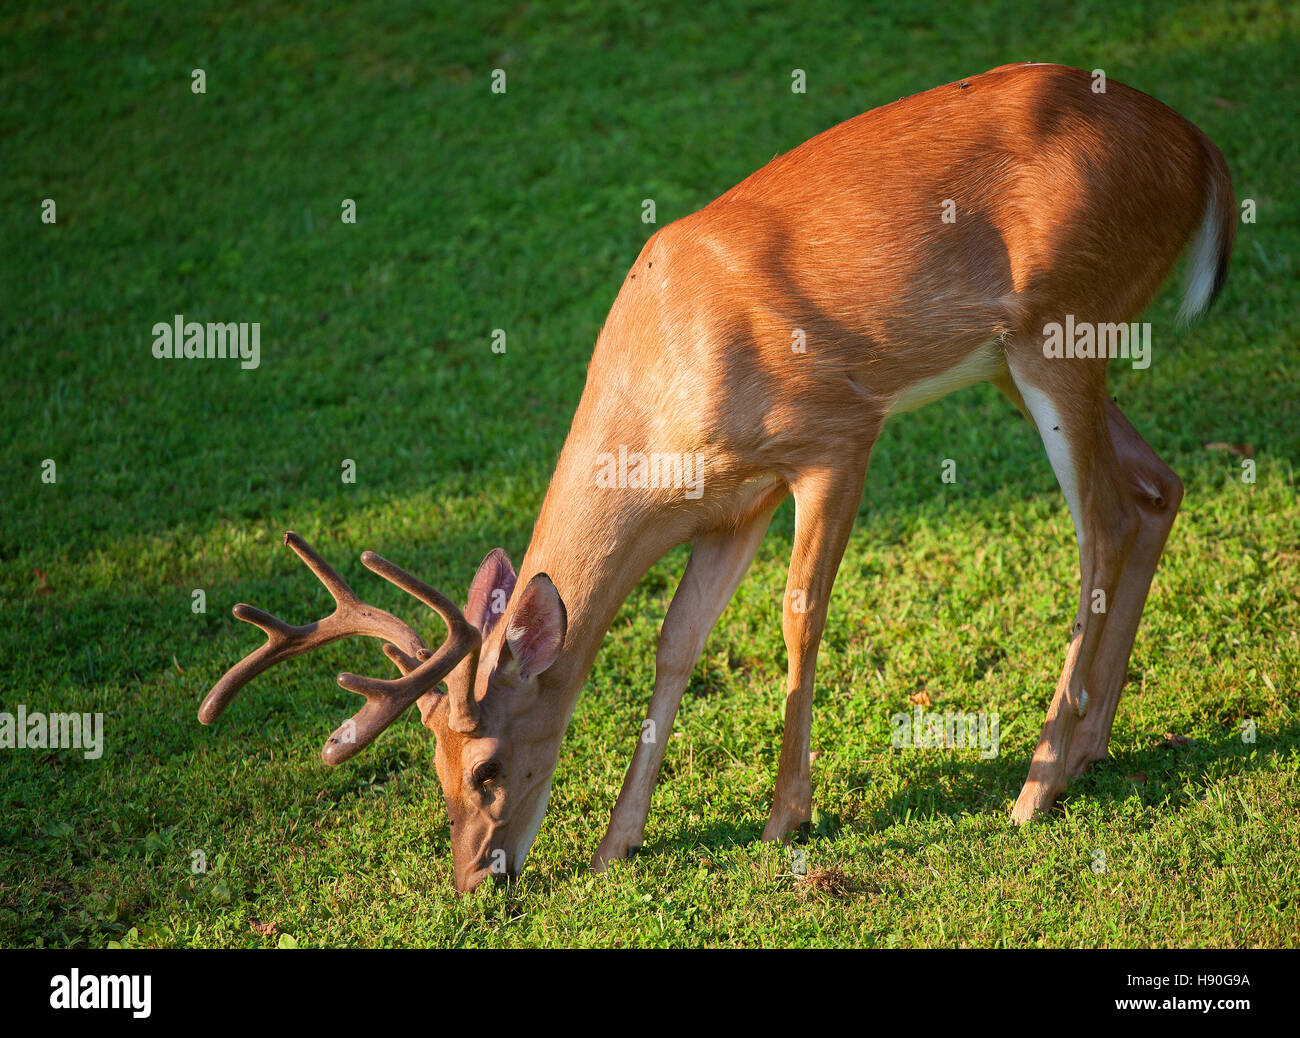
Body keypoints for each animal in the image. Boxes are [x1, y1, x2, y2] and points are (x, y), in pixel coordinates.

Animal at [198, 63, 1234, 893]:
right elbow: (675, 646)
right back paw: (1090, 749)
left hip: (1060, 326)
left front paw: (787, 818)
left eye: (488, 766)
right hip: (1030, 360)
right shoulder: (733, 504)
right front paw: (615, 846)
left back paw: (1036, 785)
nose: (475, 882)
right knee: (1159, 489)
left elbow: (798, 613)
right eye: (437, 768)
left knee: (1104, 520)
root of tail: (1203, 152)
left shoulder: (836, 434)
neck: (666, 398)